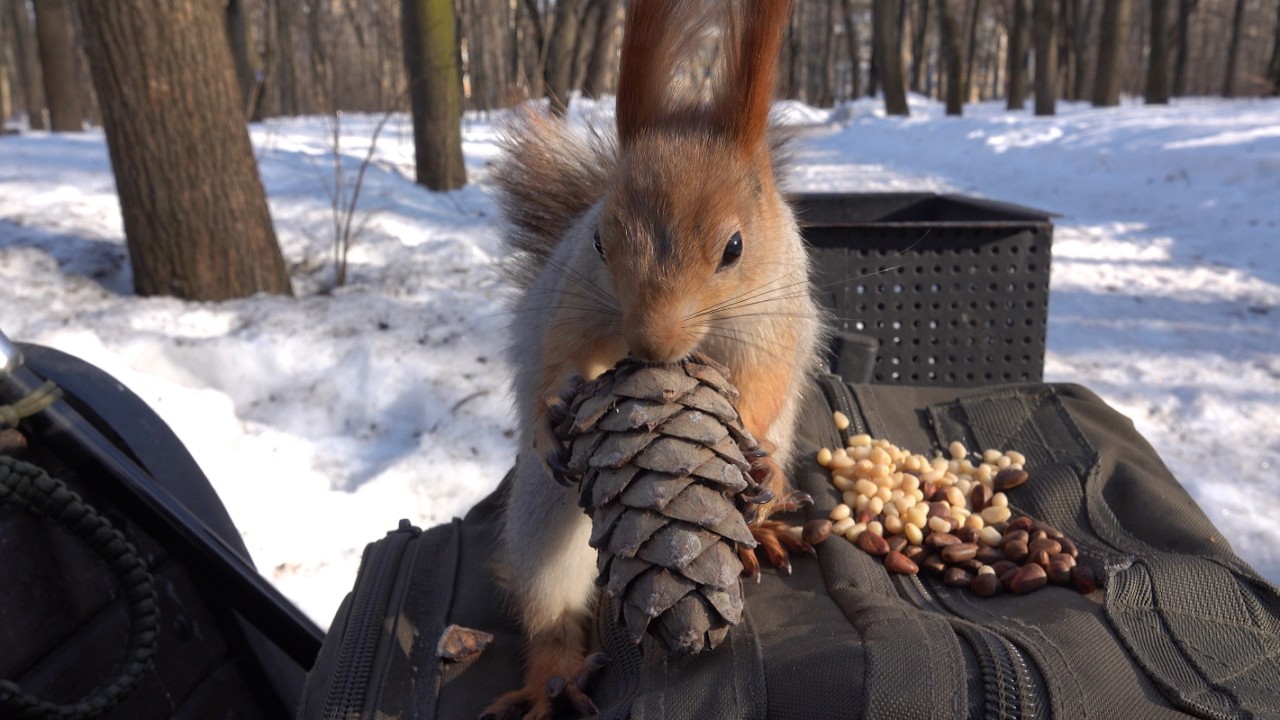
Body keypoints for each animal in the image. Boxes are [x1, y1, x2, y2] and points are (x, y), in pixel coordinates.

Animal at [485, 1, 820, 718]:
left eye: (734, 247)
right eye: (600, 240)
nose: (650, 346)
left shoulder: (775, 319)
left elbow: (766, 381)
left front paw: (751, 445)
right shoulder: (577, 297)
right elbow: (556, 356)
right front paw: (550, 415)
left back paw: (765, 525)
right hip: (544, 514)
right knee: (549, 599)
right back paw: (553, 677)